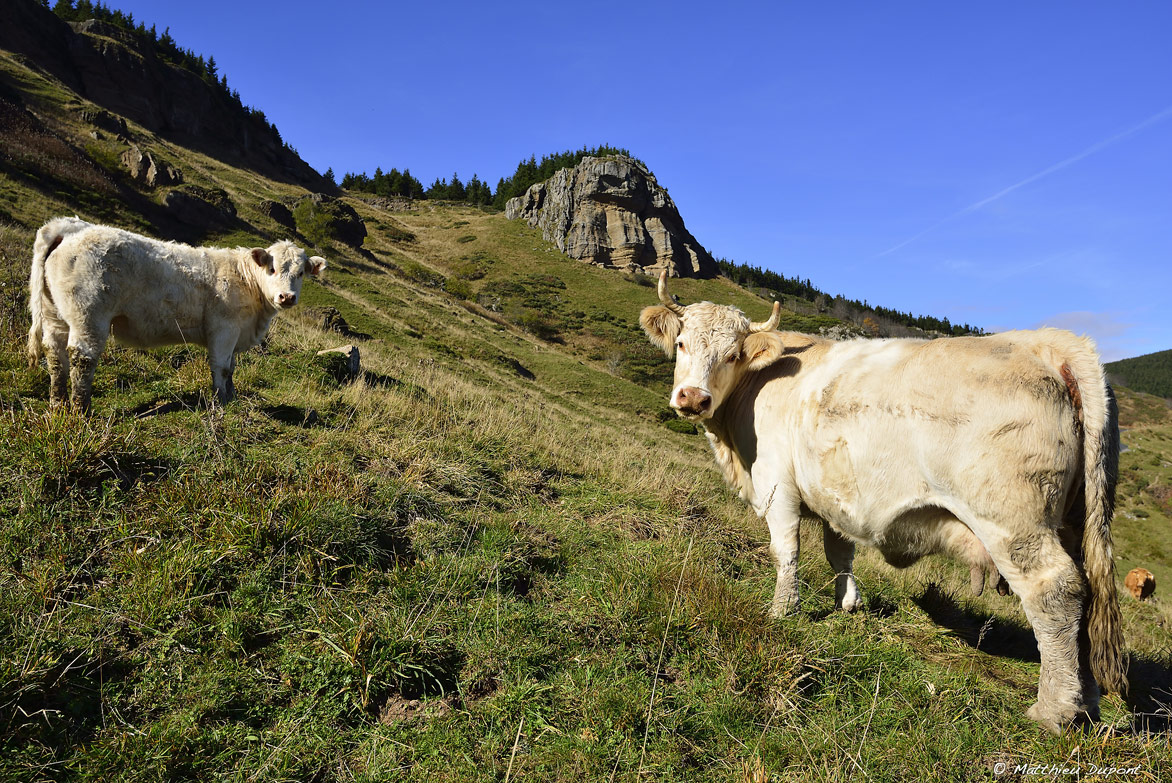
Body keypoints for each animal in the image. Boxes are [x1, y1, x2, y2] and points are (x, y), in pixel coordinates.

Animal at [27, 217, 326, 410]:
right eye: (272, 269)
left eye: (301, 273)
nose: (286, 297)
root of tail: (71, 228)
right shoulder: (224, 328)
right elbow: (222, 366)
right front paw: (220, 401)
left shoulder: (235, 332)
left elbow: (232, 367)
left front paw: (232, 397)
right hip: (88, 314)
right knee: (82, 357)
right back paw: (81, 409)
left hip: (56, 315)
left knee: (55, 354)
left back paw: (58, 404)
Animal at [640, 272, 1126, 732]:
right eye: (681, 343)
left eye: (733, 355)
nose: (693, 398)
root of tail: (1047, 342)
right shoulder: (832, 492)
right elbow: (839, 551)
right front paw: (848, 602)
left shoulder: (777, 484)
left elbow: (786, 550)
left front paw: (782, 611)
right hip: (1073, 519)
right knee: (1085, 592)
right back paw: (1085, 702)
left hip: (1012, 519)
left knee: (1054, 590)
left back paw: (1054, 711)